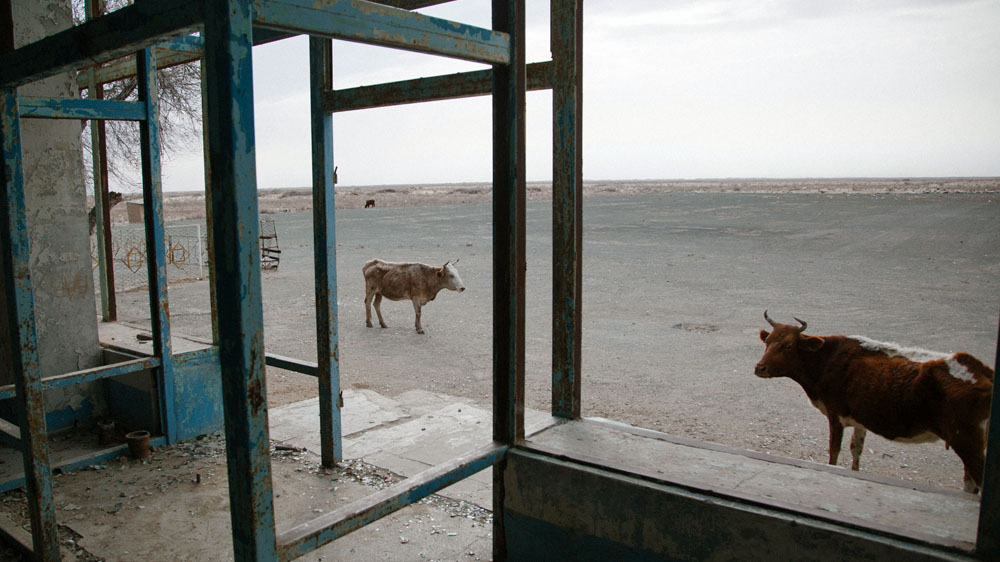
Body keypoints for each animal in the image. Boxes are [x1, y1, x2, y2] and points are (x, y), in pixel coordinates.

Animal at [756, 308, 992, 492]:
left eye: (788, 345)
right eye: (767, 341)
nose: (760, 368)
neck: (826, 360)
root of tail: (981, 371)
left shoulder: (835, 414)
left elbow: (834, 451)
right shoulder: (859, 419)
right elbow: (856, 449)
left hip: (968, 441)